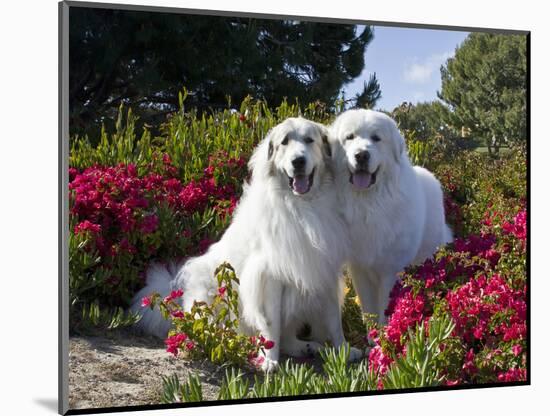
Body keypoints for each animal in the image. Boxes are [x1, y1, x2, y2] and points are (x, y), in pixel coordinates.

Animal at [132, 117, 364, 370]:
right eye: (285, 142)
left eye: (309, 140)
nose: (298, 161)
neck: (302, 206)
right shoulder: (269, 276)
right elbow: (271, 324)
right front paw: (269, 360)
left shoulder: (326, 270)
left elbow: (334, 320)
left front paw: (343, 350)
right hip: (210, 291)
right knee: (215, 331)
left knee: (289, 336)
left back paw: (306, 346)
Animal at [332, 110, 452, 324]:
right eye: (350, 137)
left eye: (376, 138)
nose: (361, 155)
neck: (368, 203)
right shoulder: (360, 269)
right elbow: (368, 309)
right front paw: (373, 333)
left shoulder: (390, 270)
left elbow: (385, 309)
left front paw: (386, 331)